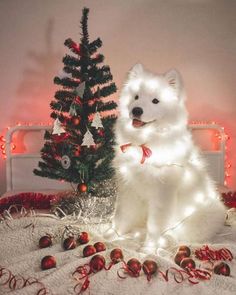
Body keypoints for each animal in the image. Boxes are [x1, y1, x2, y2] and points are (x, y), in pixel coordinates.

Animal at [109, 64, 226, 250]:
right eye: (136, 97)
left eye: (155, 101)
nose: (136, 110)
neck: (144, 142)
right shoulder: (128, 186)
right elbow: (122, 214)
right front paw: (113, 235)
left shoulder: (162, 194)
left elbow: (155, 224)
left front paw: (149, 248)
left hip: (204, 212)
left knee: (181, 233)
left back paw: (165, 239)